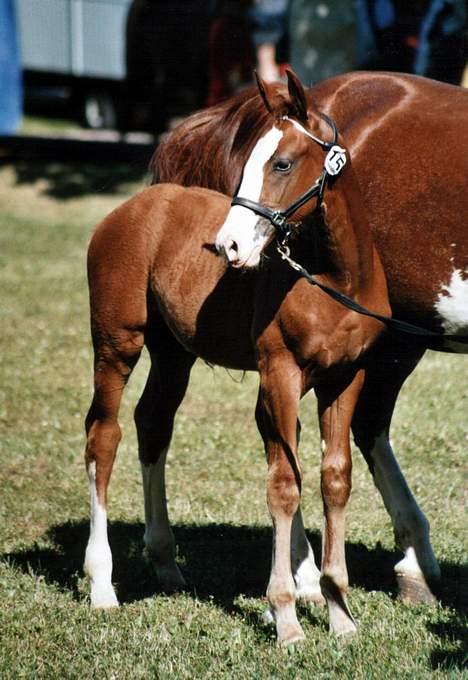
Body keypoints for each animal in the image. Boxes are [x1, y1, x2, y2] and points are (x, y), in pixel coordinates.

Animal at [83, 75, 388, 644]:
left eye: (283, 163)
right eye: (248, 161)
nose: (227, 246)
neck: (333, 280)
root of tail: (128, 209)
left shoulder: (345, 378)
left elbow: (334, 478)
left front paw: (339, 612)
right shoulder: (279, 373)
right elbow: (284, 484)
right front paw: (286, 617)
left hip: (173, 354)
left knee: (152, 423)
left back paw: (165, 562)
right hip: (117, 344)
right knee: (103, 437)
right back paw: (101, 585)